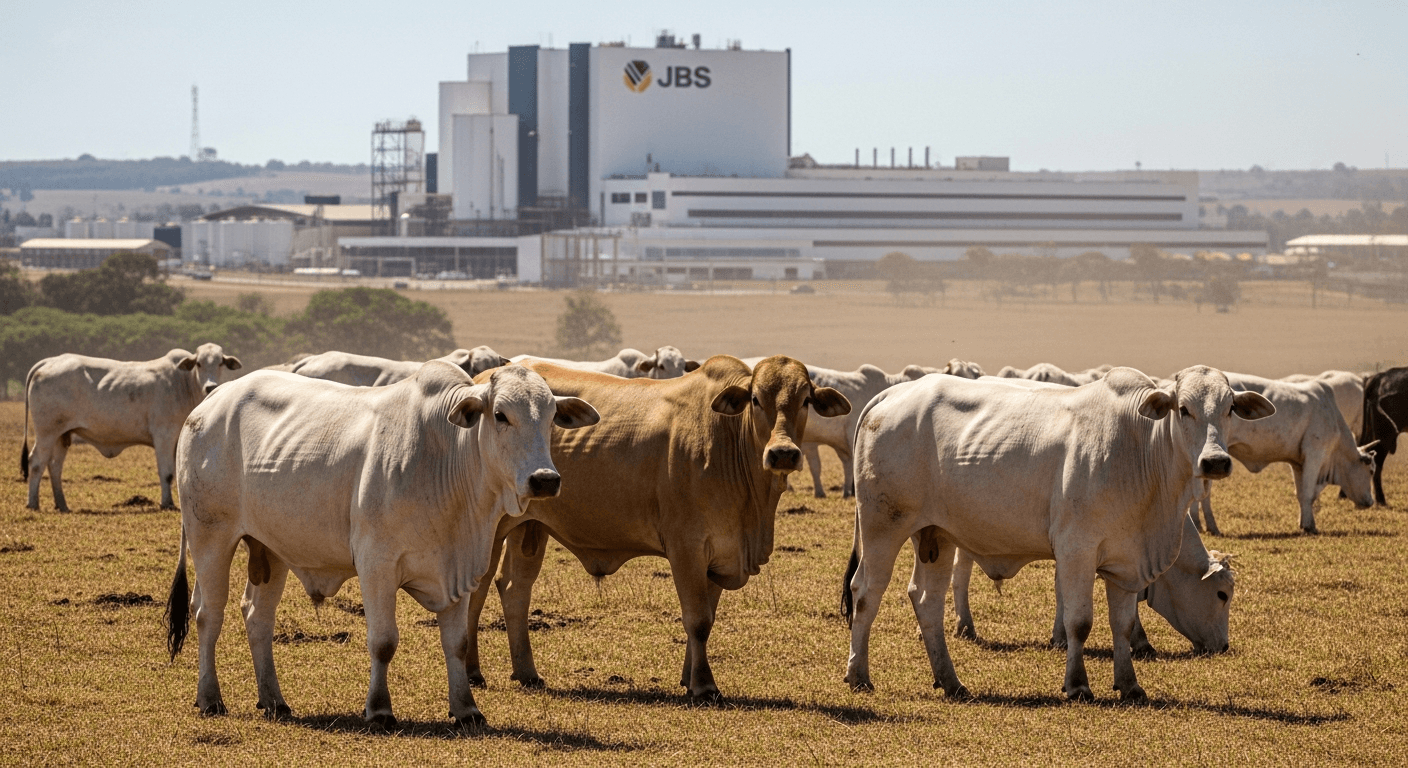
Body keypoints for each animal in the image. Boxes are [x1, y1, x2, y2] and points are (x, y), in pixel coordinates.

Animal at [20, 343, 241, 512]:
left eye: (220, 362)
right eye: (199, 363)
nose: (210, 386)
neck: (183, 384)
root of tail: (50, 361)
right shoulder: (164, 436)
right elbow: (167, 472)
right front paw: (167, 503)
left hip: (62, 435)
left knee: (55, 466)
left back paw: (62, 505)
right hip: (47, 433)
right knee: (36, 462)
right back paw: (33, 503)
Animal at [164, 363, 600, 726]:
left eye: (550, 418)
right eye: (500, 415)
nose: (544, 480)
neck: (445, 458)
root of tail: (208, 403)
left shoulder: (459, 567)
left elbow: (457, 643)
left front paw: (466, 708)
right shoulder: (377, 565)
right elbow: (384, 641)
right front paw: (379, 709)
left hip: (270, 548)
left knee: (258, 618)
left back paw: (273, 700)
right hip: (210, 538)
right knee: (207, 614)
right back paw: (210, 698)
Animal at [462, 355, 850, 700]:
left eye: (806, 400)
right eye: (755, 399)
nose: (783, 453)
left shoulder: (720, 554)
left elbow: (707, 618)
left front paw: (689, 678)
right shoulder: (686, 547)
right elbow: (697, 619)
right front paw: (704, 685)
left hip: (530, 527)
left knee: (515, 589)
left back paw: (526, 672)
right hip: (491, 529)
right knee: (476, 592)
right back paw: (472, 671)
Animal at [1188, 372, 1377, 535]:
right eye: (1371, 471)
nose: (1370, 502)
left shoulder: (1298, 463)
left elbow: (1300, 493)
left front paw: (1303, 523)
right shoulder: (1315, 455)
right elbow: (1308, 493)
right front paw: (1310, 526)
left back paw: (1206, 526)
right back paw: (1201, 525)